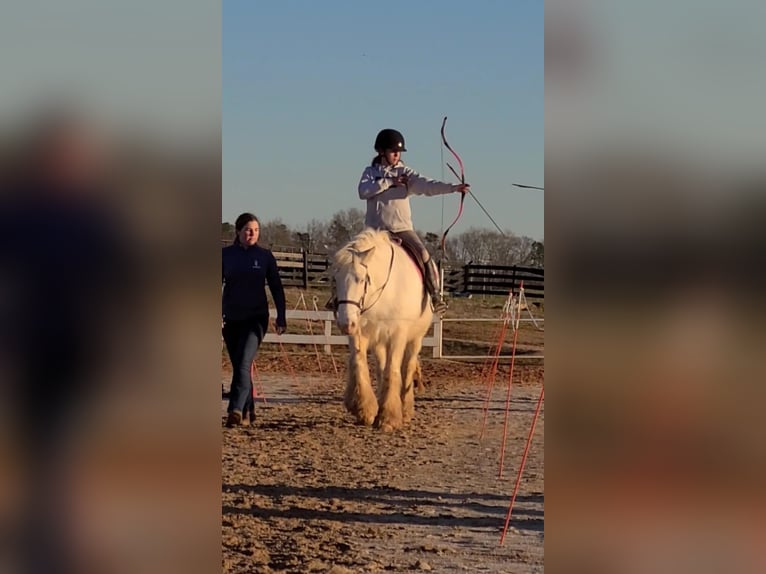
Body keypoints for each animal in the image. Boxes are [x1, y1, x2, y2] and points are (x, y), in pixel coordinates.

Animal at [332, 230, 436, 432]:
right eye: (336, 279)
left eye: (361, 279)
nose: (345, 323)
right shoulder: (360, 331)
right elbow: (359, 363)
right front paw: (364, 409)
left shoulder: (397, 335)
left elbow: (392, 369)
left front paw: (389, 418)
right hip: (379, 341)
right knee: (381, 368)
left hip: (415, 339)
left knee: (408, 367)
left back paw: (405, 409)